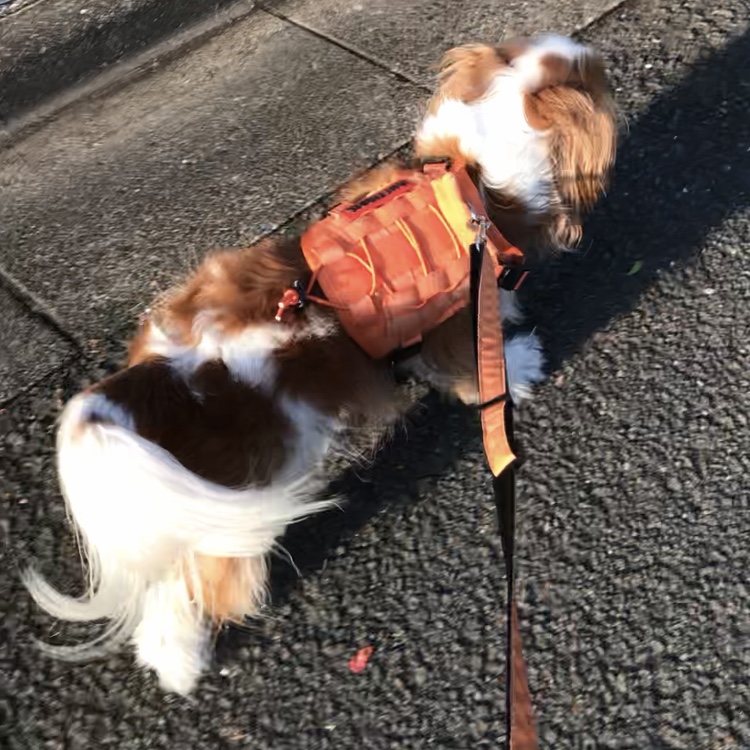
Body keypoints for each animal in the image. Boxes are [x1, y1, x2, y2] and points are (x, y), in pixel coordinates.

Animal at [24, 35, 617, 694]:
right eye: (592, 73)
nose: (595, 50)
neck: (471, 177)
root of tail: (145, 383)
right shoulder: (450, 323)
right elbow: (472, 370)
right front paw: (519, 362)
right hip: (235, 507)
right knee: (204, 588)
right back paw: (186, 662)